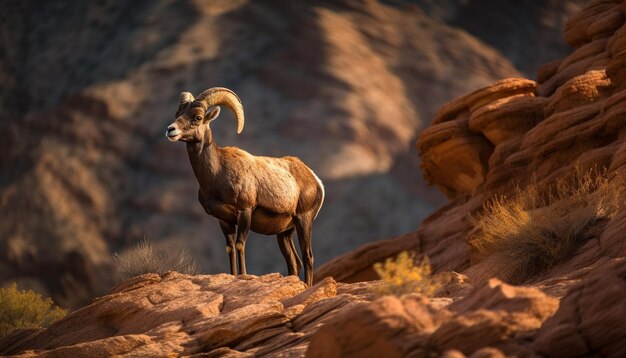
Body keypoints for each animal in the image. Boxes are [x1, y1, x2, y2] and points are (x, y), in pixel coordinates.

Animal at [163, 86, 324, 286]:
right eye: (178, 114)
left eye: (198, 117)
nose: (171, 130)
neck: (217, 174)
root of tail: (315, 179)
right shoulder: (224, 220)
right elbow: (230, 248)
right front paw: (232, 276)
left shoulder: (244, 212)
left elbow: (240, 245)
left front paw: (243, 275)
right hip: (285, 233)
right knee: (294, 262)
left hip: (304, 222)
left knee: (308, 257)